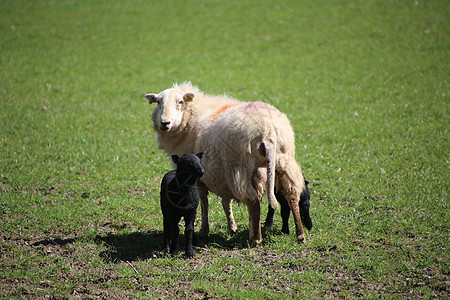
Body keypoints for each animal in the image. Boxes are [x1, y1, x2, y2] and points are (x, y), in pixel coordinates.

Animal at [146, 82, 308, 246]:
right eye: (158, 102)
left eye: (180, 102)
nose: (165, 123)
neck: (191, 118)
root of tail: (267, 131)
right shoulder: (221, 177)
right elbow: (226, 202)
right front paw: (232, 228)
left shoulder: (199, 178)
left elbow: (204, 202)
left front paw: (204, 230)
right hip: (284, 162)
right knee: (292, 195)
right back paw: (300, 234)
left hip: (238, 169)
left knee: (253, 201)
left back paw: (255, 239)